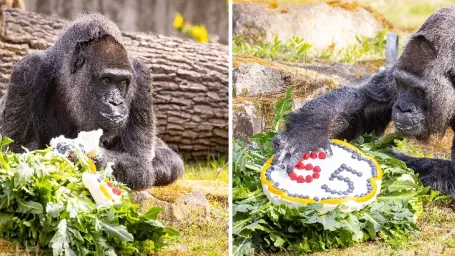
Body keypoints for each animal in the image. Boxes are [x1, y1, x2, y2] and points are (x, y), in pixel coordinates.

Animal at [0, 14, 185, 190]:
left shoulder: (142, 77)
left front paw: (86, 155)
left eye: (122, 83)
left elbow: (141, 163)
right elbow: (17, 152)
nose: (116, 102)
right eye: (106, 80)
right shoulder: (27, 72)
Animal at [274, 7, 455, 196]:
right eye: (402, 84)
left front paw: (385, 155)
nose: (402, 108)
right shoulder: (397, 69)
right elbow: (367, 102)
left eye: (419, 91)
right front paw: (306, 134)